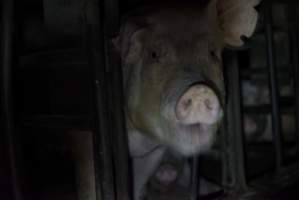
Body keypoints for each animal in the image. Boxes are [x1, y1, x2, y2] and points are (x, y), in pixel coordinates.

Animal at [113, 0, 262, 198]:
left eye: (212, 52)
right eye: (154, 54)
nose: (199, 90)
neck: (140, 141)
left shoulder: (153, 152)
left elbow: (138, 185)